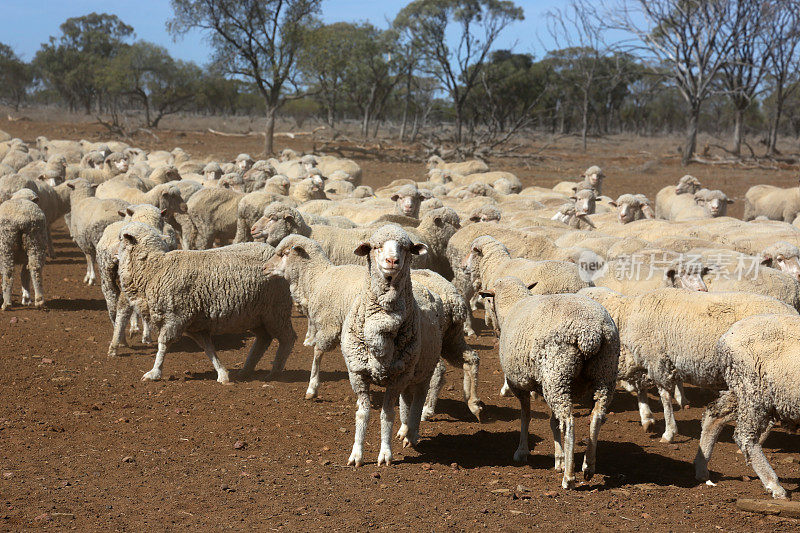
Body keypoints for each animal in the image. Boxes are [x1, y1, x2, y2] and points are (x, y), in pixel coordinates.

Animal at [338, 224, 438, 466]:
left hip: (422, 370)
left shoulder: (397, 378)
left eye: (406, 247)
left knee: (418, 400)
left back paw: (412, 434)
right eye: (376, 246)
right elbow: (362, 414)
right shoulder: (358, 374)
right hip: (408, 372)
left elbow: (387, 415)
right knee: (407, 400)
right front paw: (356, 455)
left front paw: (385, 454)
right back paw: (404, 430)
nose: (392, 261)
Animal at [482, 276, 620, 488]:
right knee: (596, 416)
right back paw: (588, 466)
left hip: (558, 373)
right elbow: (553, 422)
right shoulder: (544, 383)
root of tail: (591, 333)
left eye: (489, 301)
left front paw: (522, 451)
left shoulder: (518, 383)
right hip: (602, 372)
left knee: (569, 421)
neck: (514, 304)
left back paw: (569, 478)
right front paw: (559, 459)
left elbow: (526, 416)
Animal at [692, 314, 800, 496]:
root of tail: (727, 336)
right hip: (753, 389)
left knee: (714, 414)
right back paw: (774, 485)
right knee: (744, 436)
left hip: (741, 387)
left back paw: (701, 469)